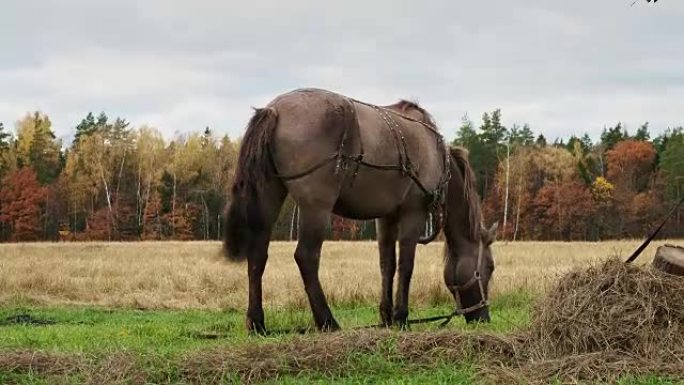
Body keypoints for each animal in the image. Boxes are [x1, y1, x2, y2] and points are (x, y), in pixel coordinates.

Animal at [224, 88, 496, 332]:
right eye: (490, 268)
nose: (483, 317)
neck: (436, 154)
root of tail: (275, 110)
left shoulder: (386, 217)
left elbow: (387, 265)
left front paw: (387, 316)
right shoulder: (413, 212)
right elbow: (406, 266)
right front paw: (401, 317)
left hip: (269, 198)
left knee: (257, 256)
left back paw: (257, 323)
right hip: (316, 208)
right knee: (306, 257)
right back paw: (327, 321)